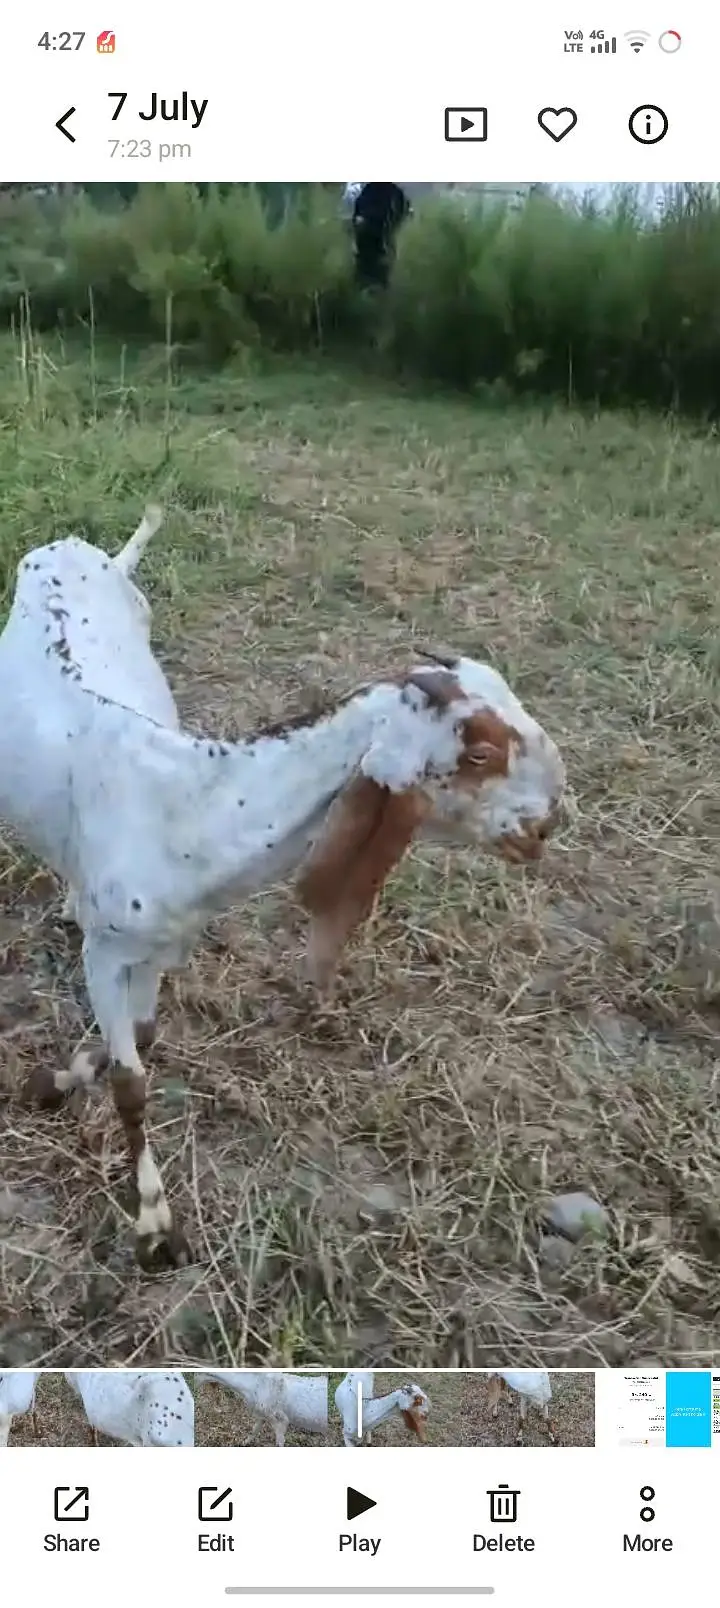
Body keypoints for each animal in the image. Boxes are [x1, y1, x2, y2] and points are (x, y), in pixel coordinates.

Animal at [0, 508, 566, 1271]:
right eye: (478, 752)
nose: (546, 823)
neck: (191, 809)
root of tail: (82, 551)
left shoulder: (163, 944)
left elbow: (141, 1035)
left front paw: (58, 1079)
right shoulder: (109, 950)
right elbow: (130, 1082)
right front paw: (153, 1224)